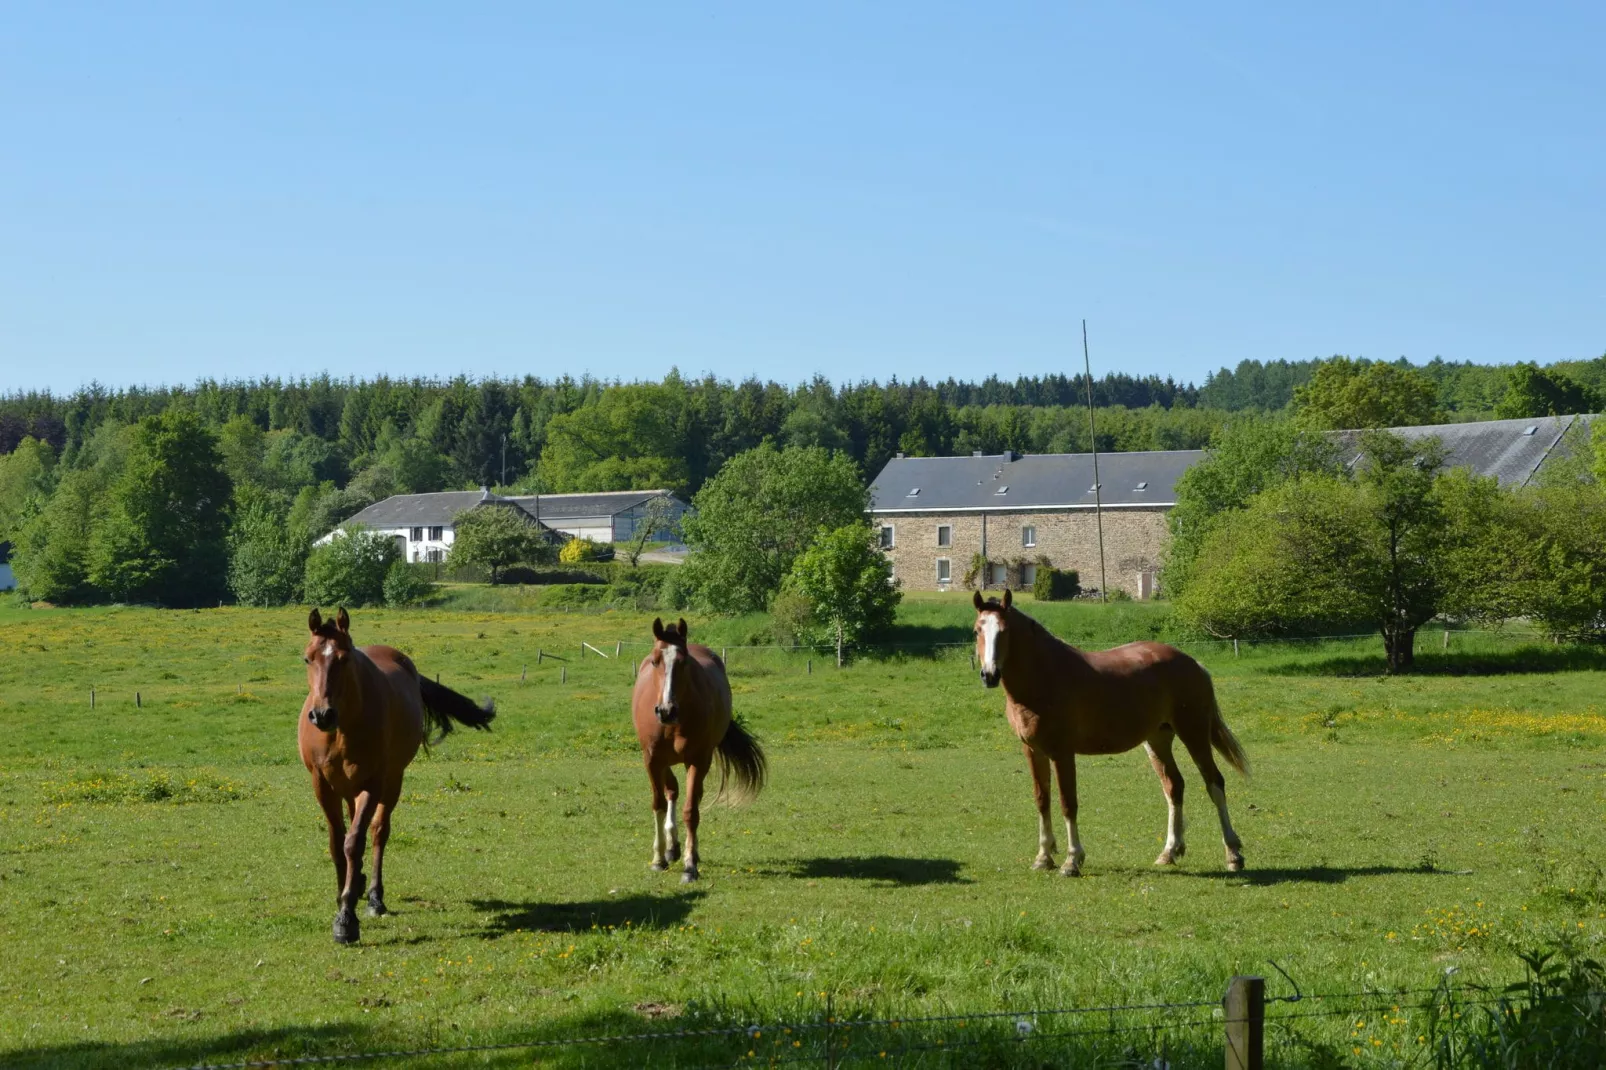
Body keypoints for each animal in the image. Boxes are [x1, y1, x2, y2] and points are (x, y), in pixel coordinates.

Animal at [298, 607, 491, 944]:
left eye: (344, 658)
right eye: (308, 658)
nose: (322, 715)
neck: (342, 728)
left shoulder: (373, 783)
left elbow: (354, 842)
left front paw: (346, 918)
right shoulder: (321, 784)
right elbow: (337, 844)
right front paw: (342, 895)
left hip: (391, 782)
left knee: (378, 832)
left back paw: (374, 897)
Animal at [629, 613, 767, 880]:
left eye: (683, 662)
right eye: (655, 661)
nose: (666, 711)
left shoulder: (698, 759)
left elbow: (691, 811)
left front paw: (690, 865)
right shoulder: (652, 760)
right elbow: (659, 804)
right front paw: (658, 859)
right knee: (671, 791)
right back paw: (671, 848)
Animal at [970, 588, 1246, 873]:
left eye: (1004, 630)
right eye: (977, 631)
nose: (989, 675)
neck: (1043, 678)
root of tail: (1193, 663)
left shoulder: (1062, 752)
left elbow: (1068, 803)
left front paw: (1072, 860)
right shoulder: (1033, 750)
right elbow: (1042, 800)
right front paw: (1043, 857)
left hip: (1194, 733)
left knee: (1214, 783)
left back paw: (1233, 854)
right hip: (1157, 739)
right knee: (1174, 786)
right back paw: (1169, 852)